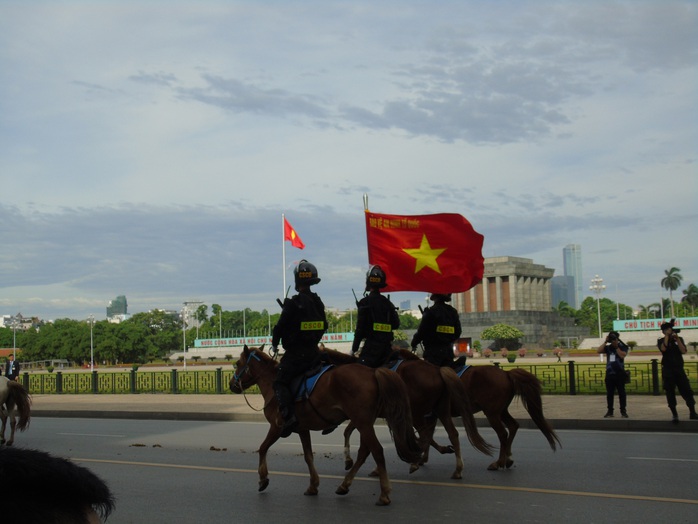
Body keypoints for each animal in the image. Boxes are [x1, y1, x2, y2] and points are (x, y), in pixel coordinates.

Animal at [231, 342, 422, 506]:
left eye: (237, 363)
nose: (232, 385)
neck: (273, 385)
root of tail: (372, 372)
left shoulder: (277, 427)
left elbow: (263, 448)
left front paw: (263, 478)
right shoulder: (302, 429)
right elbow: (308, 456)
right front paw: (313, 485)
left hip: (362, 422)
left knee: (377, 451)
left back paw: (383, 493)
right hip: (365, 422)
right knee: (364, 452)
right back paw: (345, 485)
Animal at [322, 348, 492, 478]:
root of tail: (438, 370)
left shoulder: (364, 415)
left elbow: (348, 431)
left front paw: (351, 461)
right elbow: (349, 431)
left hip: (417, 411)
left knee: (425, 434)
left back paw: (418, 462)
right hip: (440, 409)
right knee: (451, 434)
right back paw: (456, 469)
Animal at [416, 358, 564, 472]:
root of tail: (506, 373)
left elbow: (426, 435)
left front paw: (423, 457)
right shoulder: (431, 415)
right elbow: (428, 434)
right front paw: (423, 457)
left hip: (492, 413)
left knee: (503, 433)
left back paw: (499, 462)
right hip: (501, 411)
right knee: (513, 426)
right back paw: (507, 458)